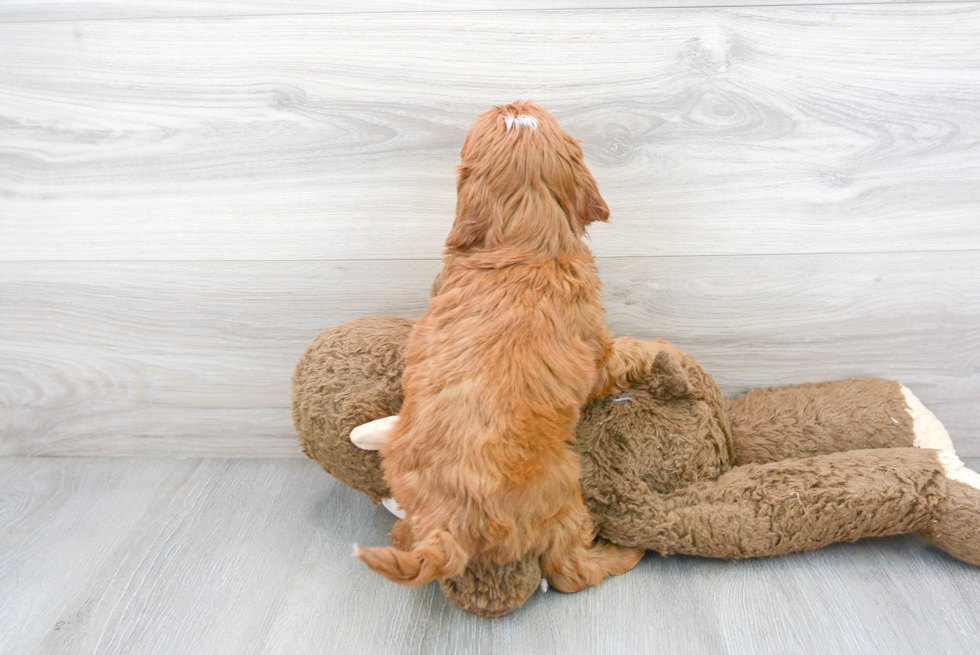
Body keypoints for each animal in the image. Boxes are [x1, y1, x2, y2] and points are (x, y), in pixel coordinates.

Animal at [356, 102, 676, 596]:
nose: (511, 102)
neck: (523, 242)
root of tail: (449, 520)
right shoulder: (595, 350)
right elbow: (624, 352)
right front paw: (658, 346)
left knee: (402, 530)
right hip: (563, 489)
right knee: (568, 569)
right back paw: (621, 553)